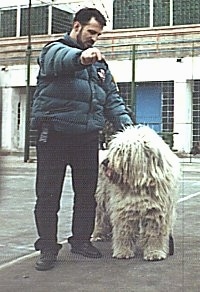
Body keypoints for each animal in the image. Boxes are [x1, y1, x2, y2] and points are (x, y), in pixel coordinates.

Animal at [93, 125, 180, 260]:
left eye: (123, 151)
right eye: (113, 149)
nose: (105, 162)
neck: (141, 183)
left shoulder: (156, 211)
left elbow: (154, 234)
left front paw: (154, 253)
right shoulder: (125, 209)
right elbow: (124, 231)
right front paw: (123, 252)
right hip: (102, 198)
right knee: (101, 217)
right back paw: (99, 235)